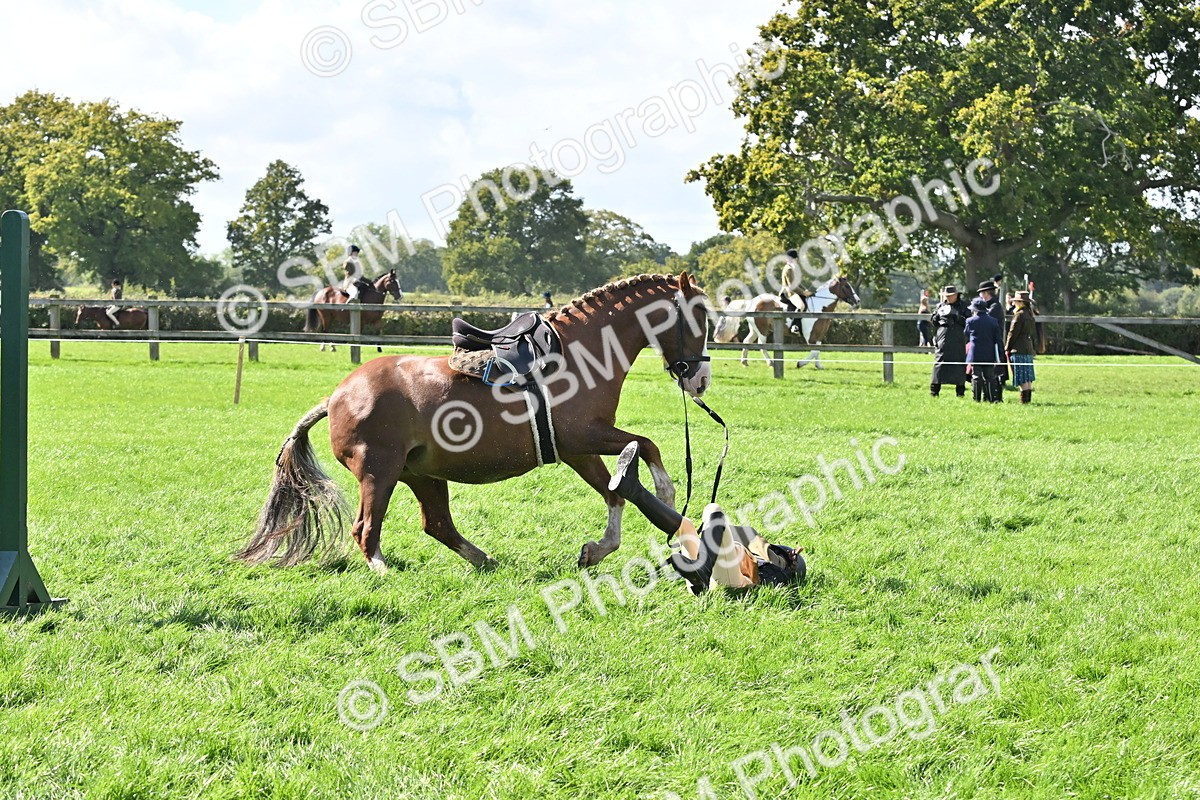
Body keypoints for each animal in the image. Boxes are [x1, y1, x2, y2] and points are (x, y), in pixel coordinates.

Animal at [238, 272, 712, 575]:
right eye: (701, 317)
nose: (701, 378)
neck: (581, 352)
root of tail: (335, 396)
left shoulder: (580, 449)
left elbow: (616, 490)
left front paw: (597, 549)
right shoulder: (582, 438)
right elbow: (646, 447)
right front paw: (666, 494)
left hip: (423, 475)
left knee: (437, 525)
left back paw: (485, 560)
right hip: (379, 472)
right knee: (366, 528)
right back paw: (383, 571)